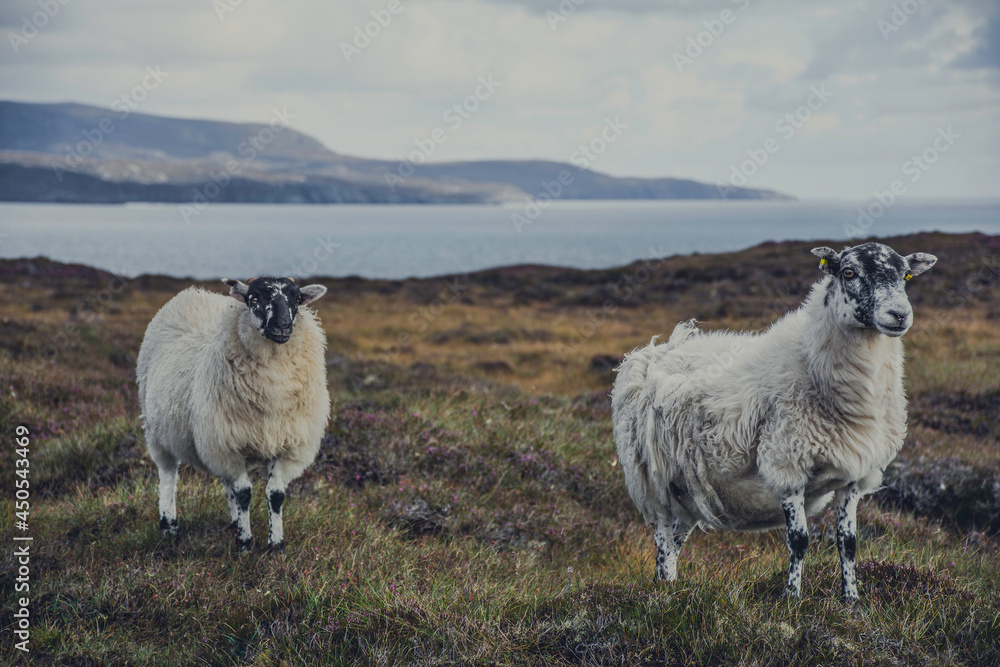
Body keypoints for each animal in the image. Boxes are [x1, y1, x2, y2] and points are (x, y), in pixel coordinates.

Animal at [136, 276, 330, 551]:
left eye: (297, 300)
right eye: (255, 299)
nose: (282, 326)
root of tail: (192, 294)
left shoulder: (287, 446)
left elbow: (275, 495)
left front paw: (276, 544)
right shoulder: (228, 446)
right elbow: (244, 493)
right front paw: (246, 543)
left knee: (225, 481)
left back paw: (233, 521)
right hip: (159, 432)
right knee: (168, 476)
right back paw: (170, 526)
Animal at [611, 242, 937, 600]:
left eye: (906, 275)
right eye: (849, 272)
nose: (899, 315)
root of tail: (658, 349)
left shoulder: (854, 476)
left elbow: (848, 544)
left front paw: (851, 599)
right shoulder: (787, 465)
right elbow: (799, 540)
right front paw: (792, 598)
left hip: (688, 490)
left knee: (676, 541)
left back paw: (669, 587)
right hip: (654, 481)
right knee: (662, 539)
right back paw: (663, 593)